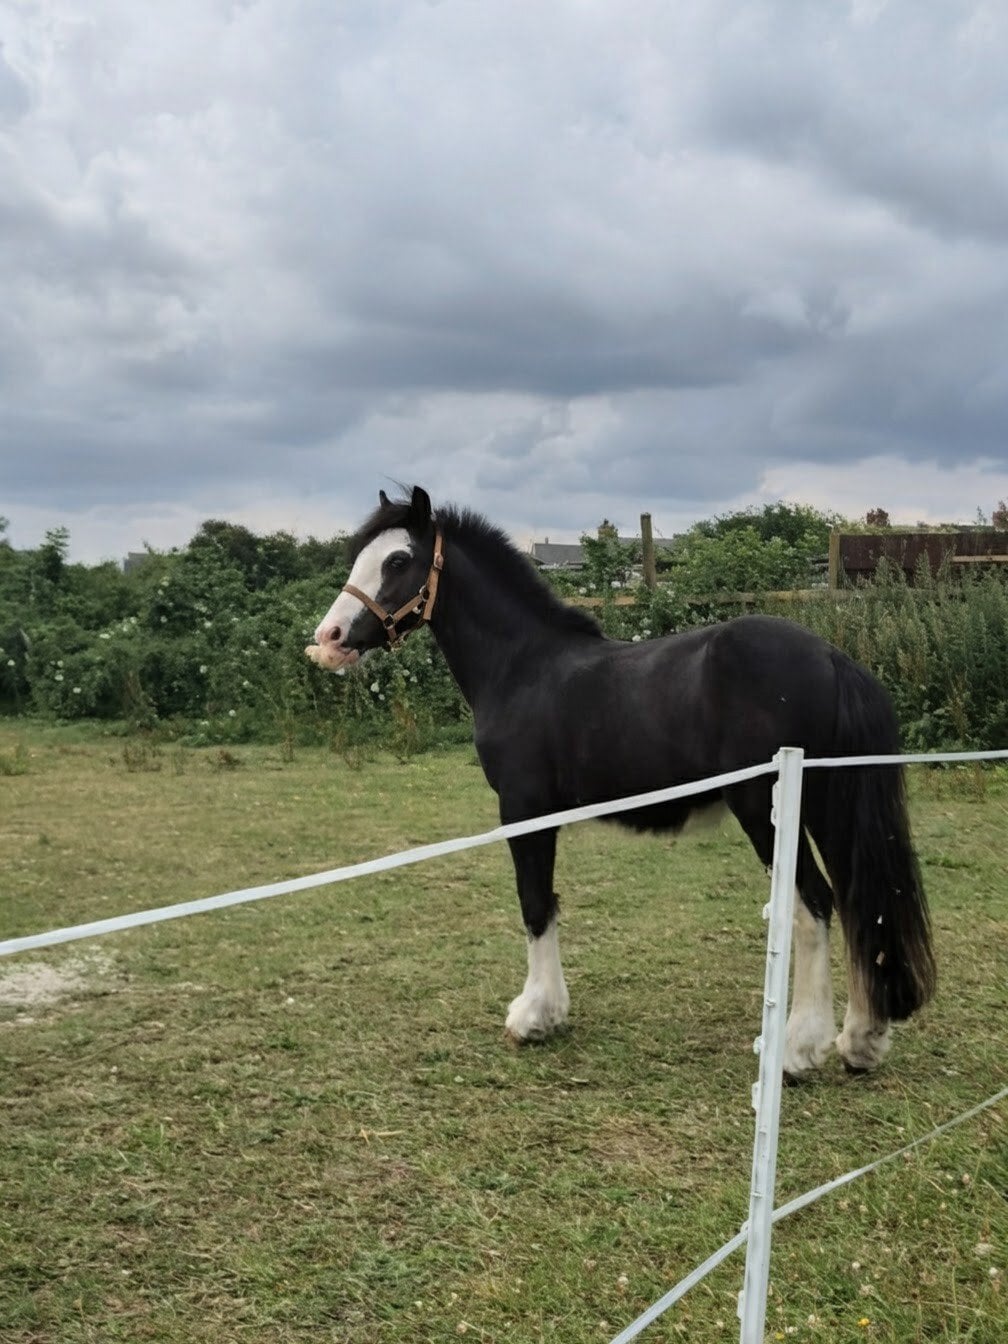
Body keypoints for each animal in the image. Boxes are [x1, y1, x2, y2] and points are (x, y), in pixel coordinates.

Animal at [306, 485, 936, 1078]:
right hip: (829, 805)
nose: (330, 637)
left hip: (767, 811)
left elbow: (535, 904)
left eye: (398, 560)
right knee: (860, 904)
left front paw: (534, 1016)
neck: (522, 666)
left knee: (814, 904)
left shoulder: (523, 810)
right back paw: (861, 1041)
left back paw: (799, 1048)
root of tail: (832, 658)